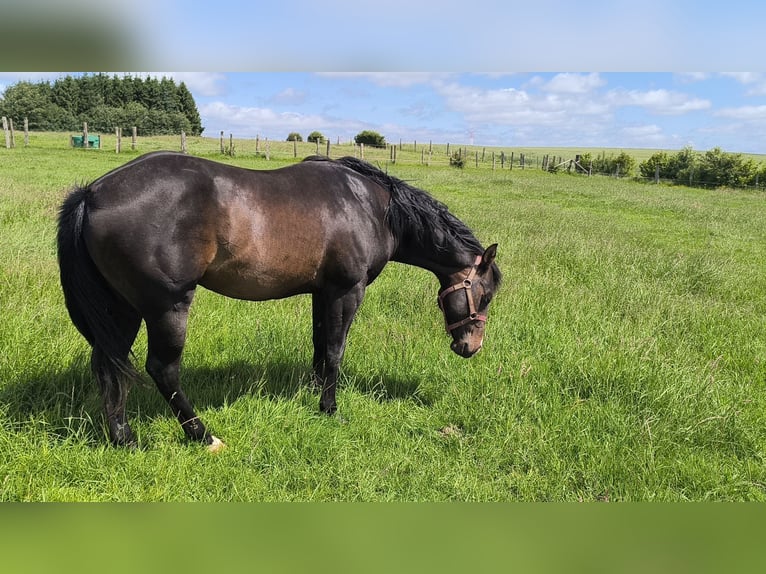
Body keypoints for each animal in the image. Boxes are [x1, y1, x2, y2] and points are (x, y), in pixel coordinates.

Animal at [57, 152, 501, 451]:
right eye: (486, 294)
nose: (471, 347)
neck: (371, 205)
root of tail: (92, 194)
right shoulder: (347, 291)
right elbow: (335, 350)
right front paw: (330, 407)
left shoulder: (322, 293)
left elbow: (320, 346)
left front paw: (314, 393)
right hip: (167, 307)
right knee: (161, 370)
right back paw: (203, 435)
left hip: (121, 309)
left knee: (109, 366)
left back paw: (123, 437)